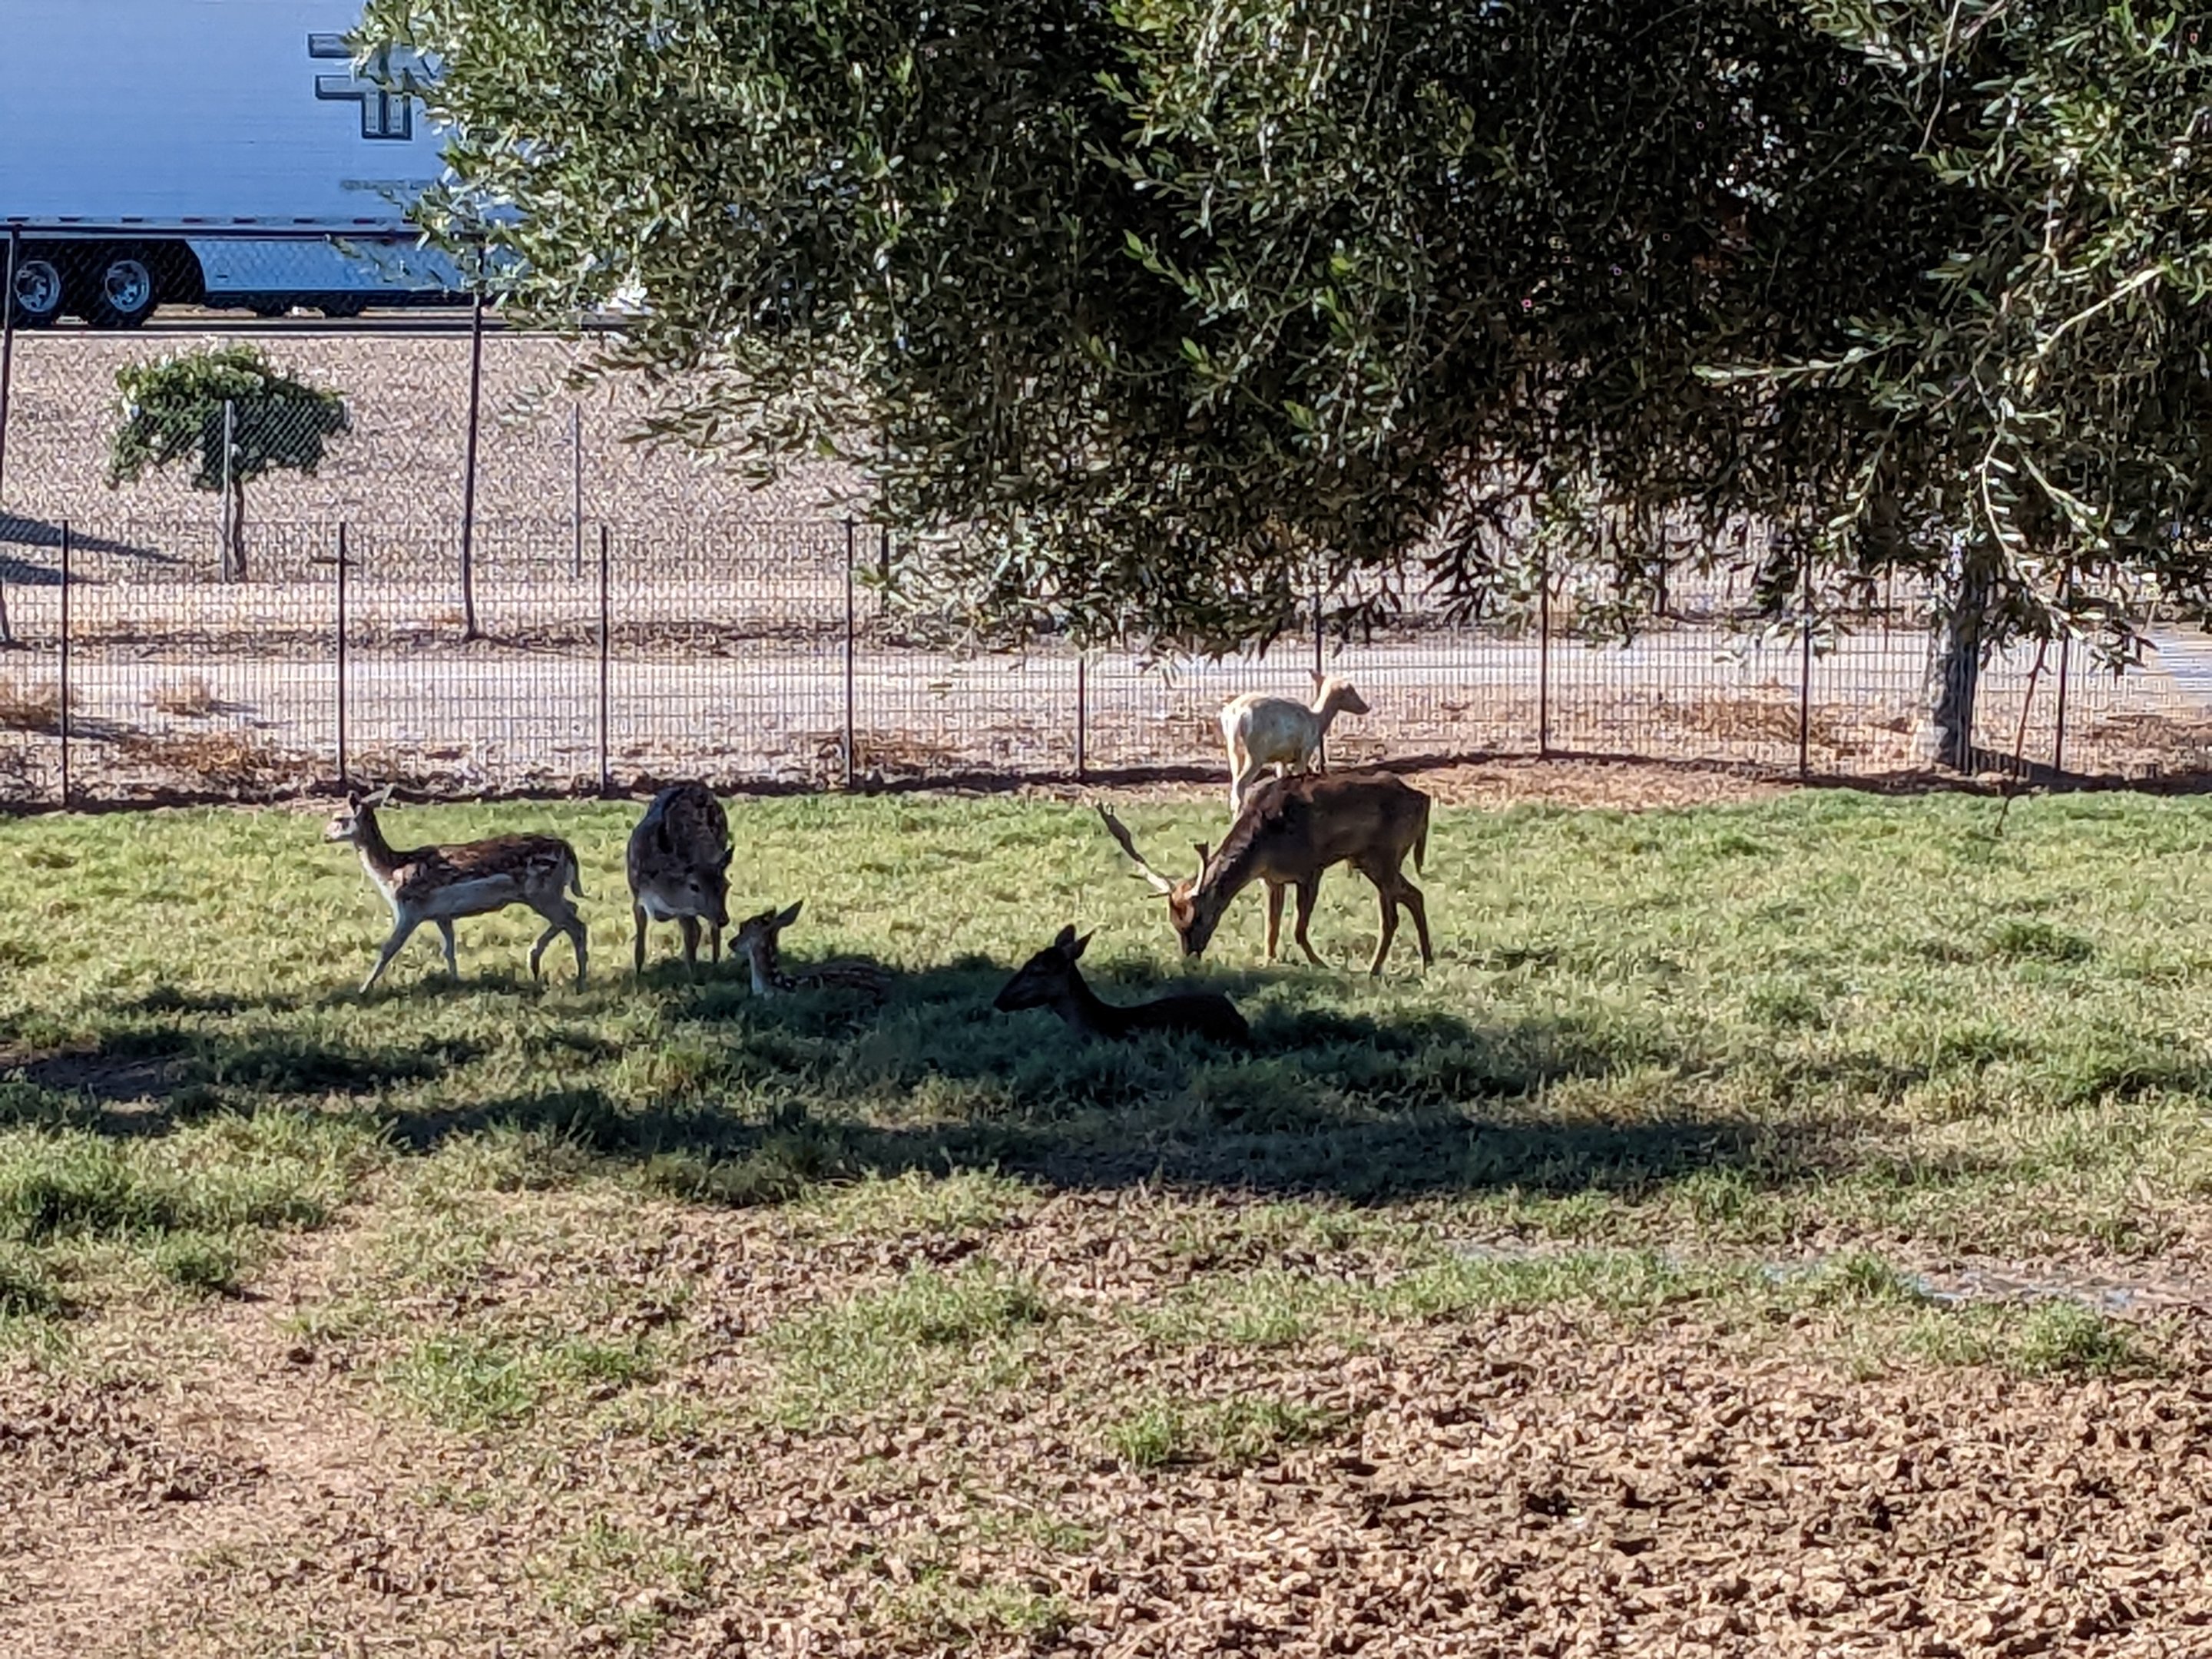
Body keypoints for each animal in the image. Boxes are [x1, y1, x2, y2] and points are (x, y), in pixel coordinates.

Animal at [323, 785, 590, 992]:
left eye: (338, 818)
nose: (325, 836)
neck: (391, 871)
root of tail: (567, 849)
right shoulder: (442, 915)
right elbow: (448, 950)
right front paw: (455, 981)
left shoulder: (410, 909)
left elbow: (388, 949)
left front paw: (363, 989)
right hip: (546, 892)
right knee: (572, 910)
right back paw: (535, 961)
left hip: (541, 891)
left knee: (576, 924)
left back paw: (579, 982)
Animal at [627, 782, 733, 977]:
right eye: (694, 886)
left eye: (726, 887)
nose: (724, 919)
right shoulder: (637, 894)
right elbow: (639, 945)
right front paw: (637, 976)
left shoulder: (686, 910)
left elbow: (692, 939)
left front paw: (693, 978)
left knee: (708, 930)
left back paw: (715, 963)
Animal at [1098, 770, 1433, 976]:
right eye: (1174, 923)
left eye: (1199, 918)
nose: (1190, 959)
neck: (1264, 844)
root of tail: (1425, 800)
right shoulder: (1270, 880)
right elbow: (1271, 927)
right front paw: (1268, 961)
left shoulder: (1310, 868)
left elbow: (1298, 929)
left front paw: (1321, 964)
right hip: (1368, 860)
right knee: (1415, 895)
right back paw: (1427, 960)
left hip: (1385, 854)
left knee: (1392, 915)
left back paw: (1375, 969)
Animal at [1219, 672, 1371, 817]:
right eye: (1351, 690)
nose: (1367, 707)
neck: (1317, 722)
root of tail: (1237, 714)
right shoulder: (1305, 750)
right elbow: (1300, 780)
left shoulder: (1282, 759)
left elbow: (1281, 780)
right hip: (1256, 753)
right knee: (1240, 785)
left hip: (1233, 750)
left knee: (1234, 785)